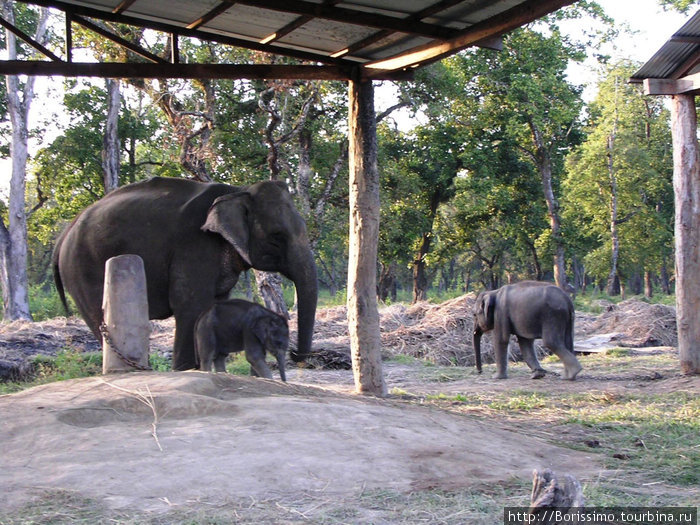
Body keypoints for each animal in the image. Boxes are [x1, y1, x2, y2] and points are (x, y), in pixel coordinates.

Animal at [54, 178, 318, 370]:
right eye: (276, 237)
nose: (295, 353)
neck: (237, 191)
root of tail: (66, 230)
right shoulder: (194, 245)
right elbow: (190, 305)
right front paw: (186, 370)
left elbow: (214, 307)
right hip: (82, 269)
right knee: (98, 317)